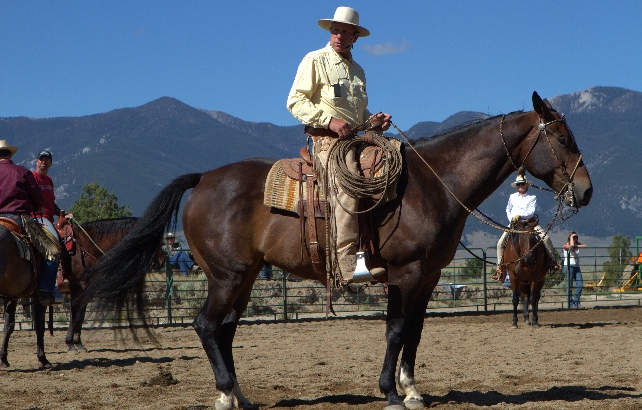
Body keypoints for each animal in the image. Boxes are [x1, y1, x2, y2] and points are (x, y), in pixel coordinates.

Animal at [0, 223, 50, 368]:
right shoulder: (38, 298)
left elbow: (9, 325)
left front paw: (4, 359)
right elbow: (39, 325)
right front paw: (43, 358)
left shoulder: (11, 295)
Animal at [81, 92, 592, 410]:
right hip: (227, 276)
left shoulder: (427, 277)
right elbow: (395, 331)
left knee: (223, 331)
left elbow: (414, 333)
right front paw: (391, 392)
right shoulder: (405, 274)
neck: (432, 186)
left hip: (243, 278)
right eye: (562, 138)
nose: (586, 192)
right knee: (206, 326)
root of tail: (203, 178)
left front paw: (412, 389)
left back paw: (240, 396)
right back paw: (226, 394)